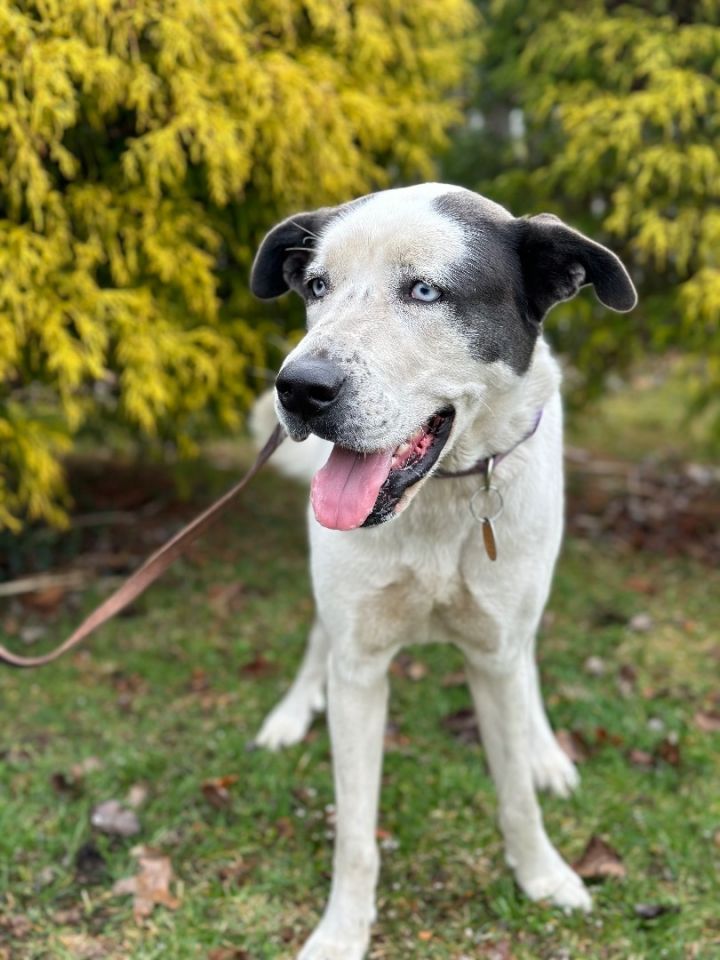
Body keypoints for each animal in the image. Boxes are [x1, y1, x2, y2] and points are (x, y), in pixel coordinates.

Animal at [248, 182, 636, 960]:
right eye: (316, 287)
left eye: (425, 290)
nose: (297, 388)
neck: (441, 496)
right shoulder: (360, 664)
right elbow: (355, 832)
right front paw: (342, 930)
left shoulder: (494, 653)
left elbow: (515, 791)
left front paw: (543, 875)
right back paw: (292, 711)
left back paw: (546, 751)